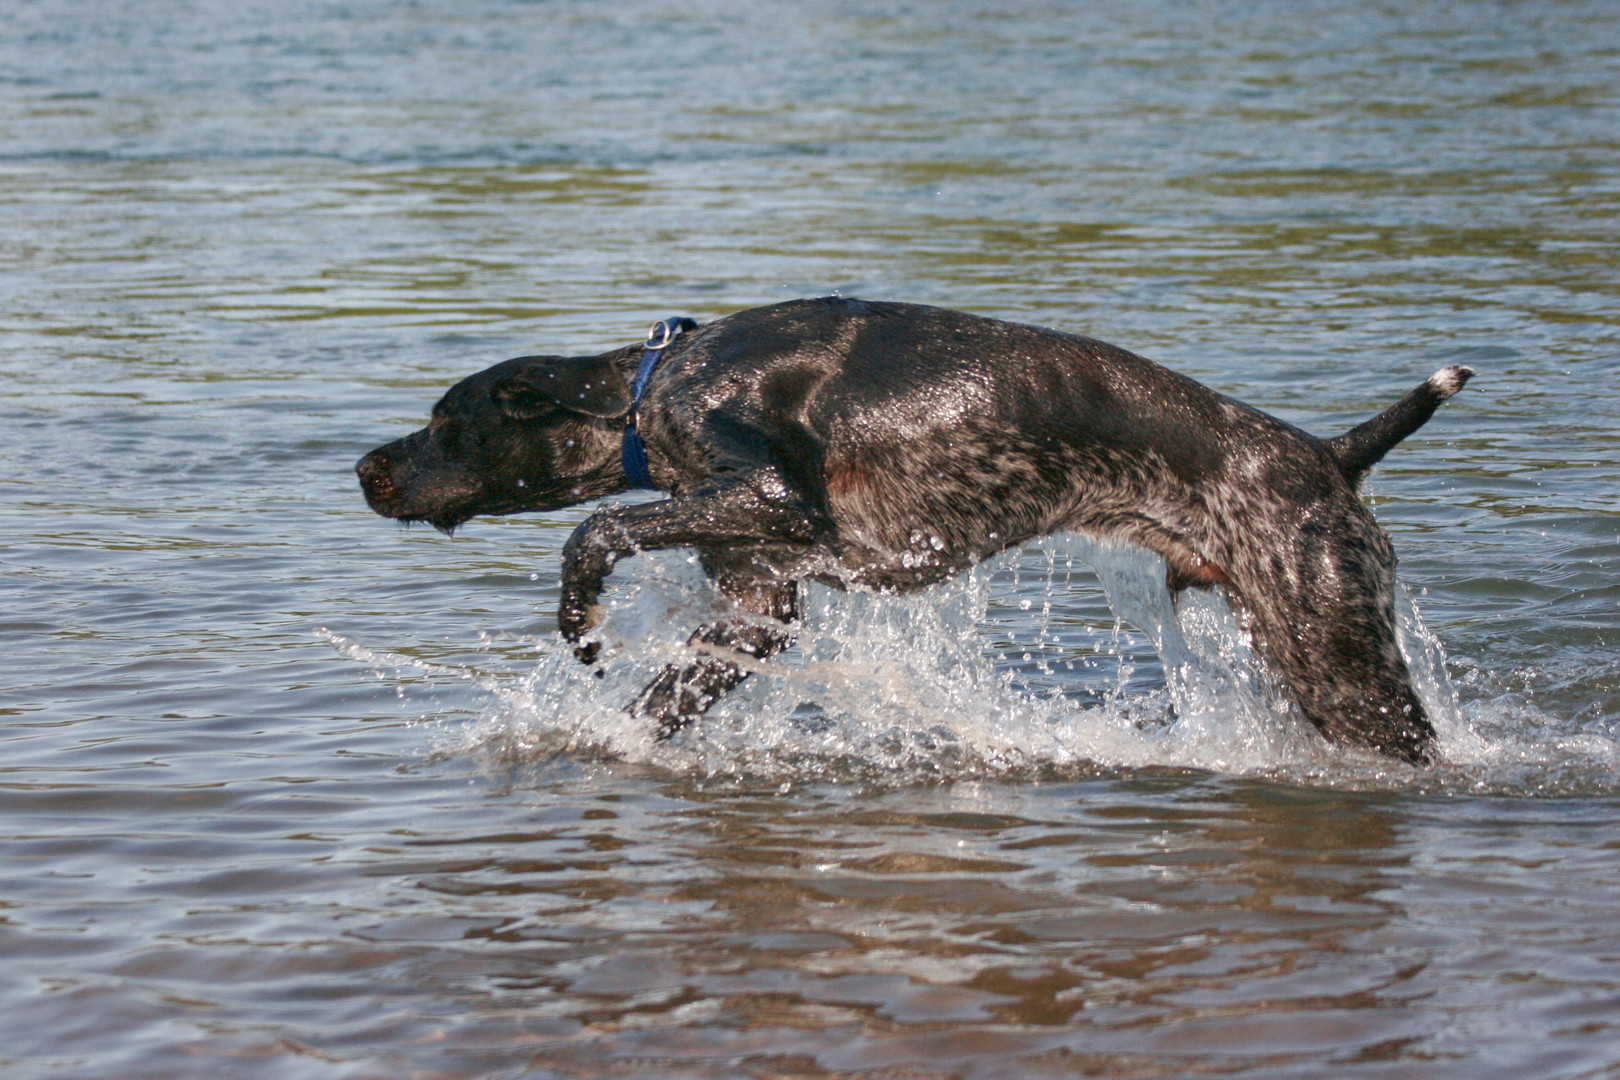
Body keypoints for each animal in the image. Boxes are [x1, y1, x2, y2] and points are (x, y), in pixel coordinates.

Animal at [361, 299, 1477, 764]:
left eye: (446, 422)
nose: (365, 468)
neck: (650, 388)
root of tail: (1329, 454)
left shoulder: (773, 495)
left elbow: (593, 532)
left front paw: (581, 618)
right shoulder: (757, 604)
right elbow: (658, 702)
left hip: (1338, 661)